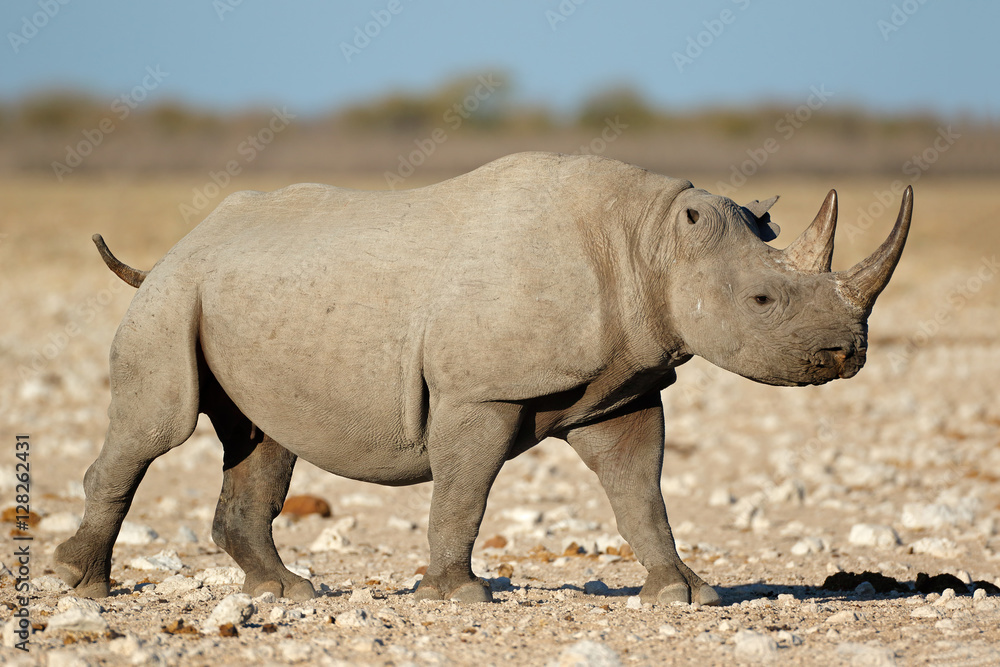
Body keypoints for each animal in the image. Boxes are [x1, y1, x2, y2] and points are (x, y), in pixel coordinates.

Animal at [54, 152, 911, 606]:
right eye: (763, 301)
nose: (846, 354)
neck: (649, 241)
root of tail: (179, 244)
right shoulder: (480, 391)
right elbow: (464, 492)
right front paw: (459, 594)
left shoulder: (628, 386)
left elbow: (641, 493)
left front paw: (684, 592)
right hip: (177, 292)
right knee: (157, 427)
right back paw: (82, 585)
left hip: (230, 292)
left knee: (263, 439)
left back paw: (289, 591)